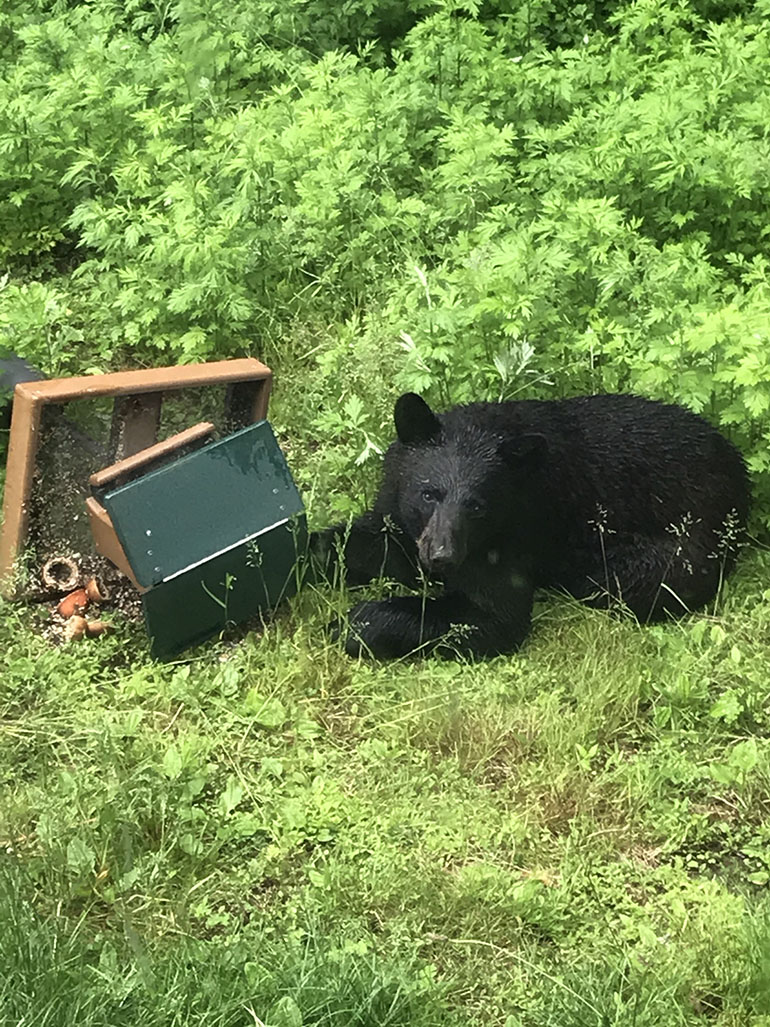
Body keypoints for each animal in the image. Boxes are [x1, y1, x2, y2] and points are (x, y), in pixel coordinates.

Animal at [312, 392, 750, 660]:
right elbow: (368, 540)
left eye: (477, 506)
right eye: (428, 493)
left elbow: (493, 615)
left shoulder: (513, 532)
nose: (441, 557)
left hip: (678, 547)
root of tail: (740, 473)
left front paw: (348, 623)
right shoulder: (400, 515)